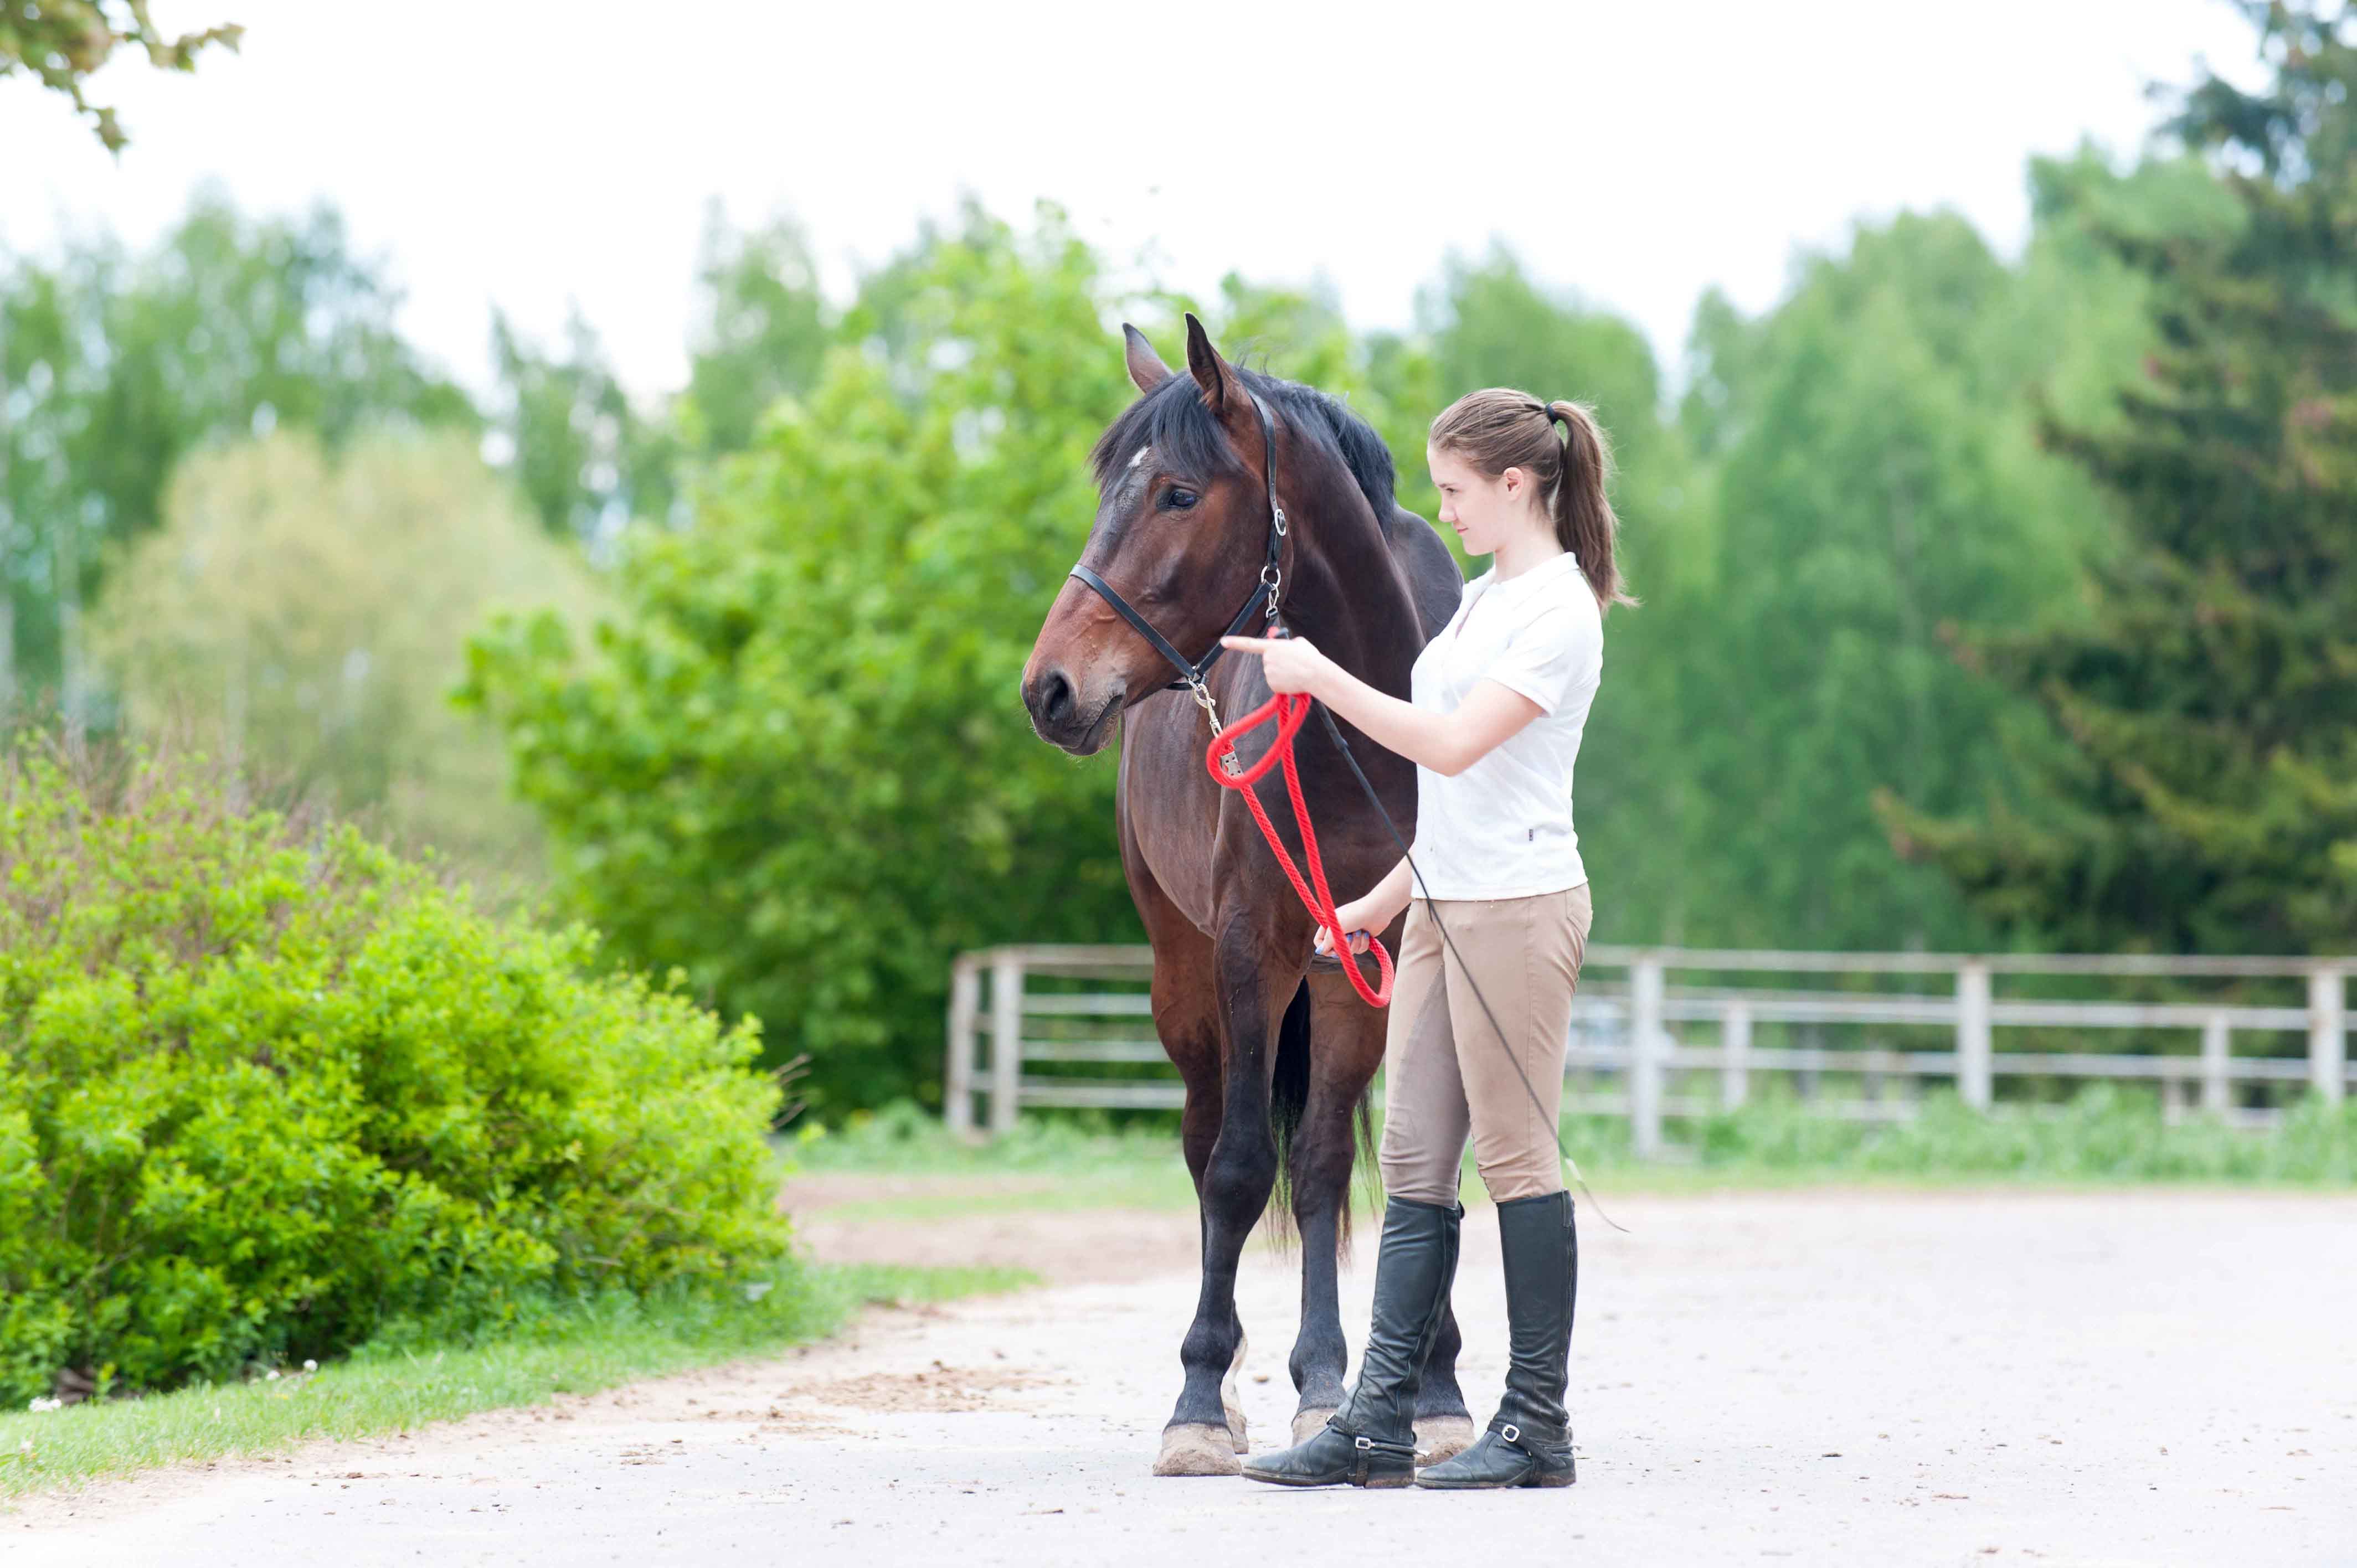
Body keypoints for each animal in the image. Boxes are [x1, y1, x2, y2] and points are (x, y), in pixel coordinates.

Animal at [1021, 314, 1472, 1476]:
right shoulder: (1248, 950)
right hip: (1183, 980)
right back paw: (1223, 1391)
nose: (1049, 689)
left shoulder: (1369, 964)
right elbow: (1233, 1170)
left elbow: (1328, 1164)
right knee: (1201, 1143)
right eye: (1108, 488)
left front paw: (1365, 1391)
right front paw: (1197, 1398)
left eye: (1178, 493)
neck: (1365, 721)